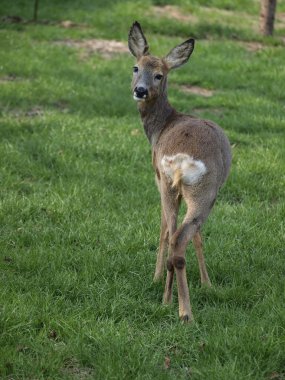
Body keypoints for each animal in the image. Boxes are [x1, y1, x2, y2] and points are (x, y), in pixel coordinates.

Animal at [128, 22, 231, 322]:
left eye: (159, 74)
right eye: (136, 67)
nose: (140, 90)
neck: (162, 126)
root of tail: (183, 159)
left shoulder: (158, 179)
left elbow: (166, 228)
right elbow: (190, 235)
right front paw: (206, 283)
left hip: (176, 185)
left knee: (174, 235)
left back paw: (169, 302)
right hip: (201, 191)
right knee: (179, 237)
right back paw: (185, 312)